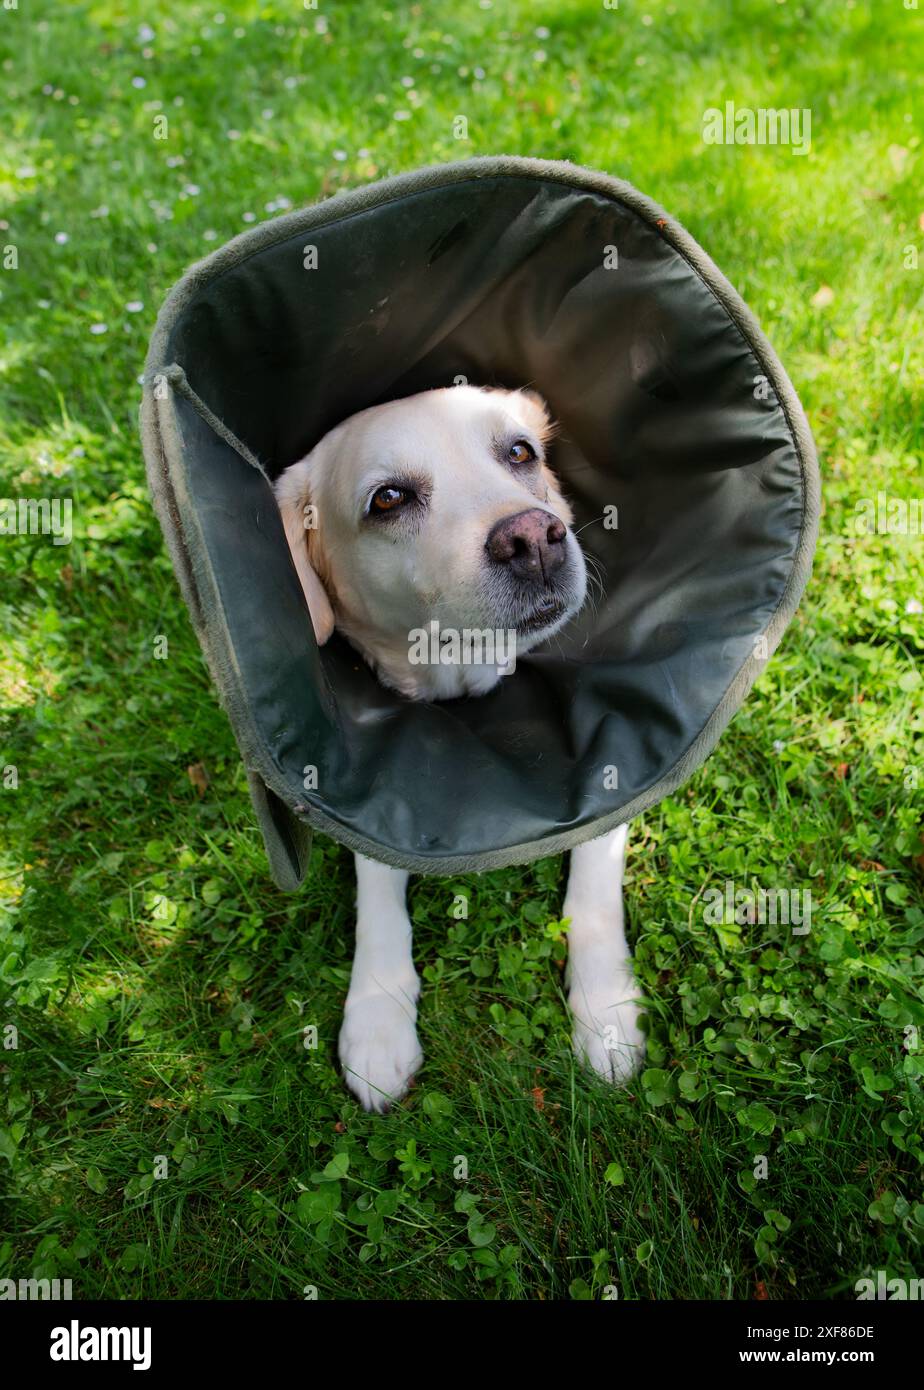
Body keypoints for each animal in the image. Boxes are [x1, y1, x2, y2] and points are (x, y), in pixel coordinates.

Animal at [273, 386, 641, 1112]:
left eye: (520, 453)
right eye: (387, 498)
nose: (532, 539)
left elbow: (594, 883)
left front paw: (608, 1011)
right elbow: (377, 884)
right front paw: (378, 1015)